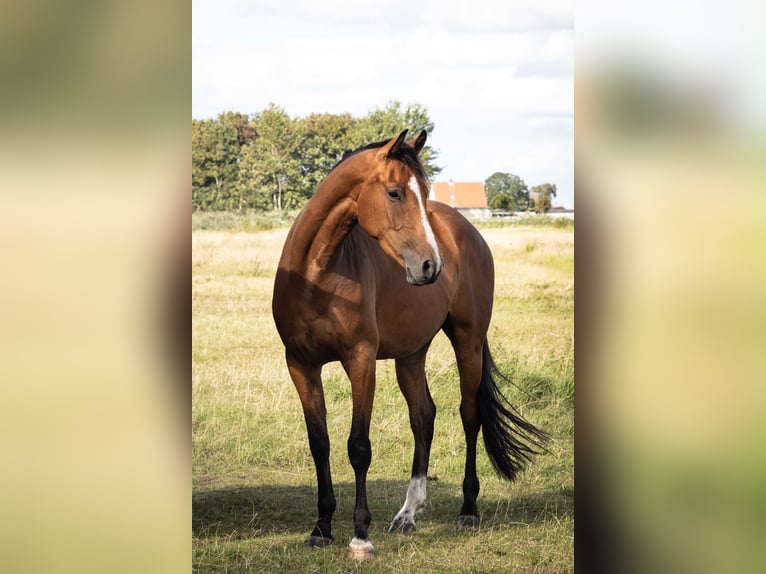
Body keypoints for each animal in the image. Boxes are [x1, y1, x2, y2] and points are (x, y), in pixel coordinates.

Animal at [272, 130, 547, 557]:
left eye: (424, 192)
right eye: (395, 193)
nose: (431, 265)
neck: (318, 274)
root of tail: (467, 231)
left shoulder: (360, 361)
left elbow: (358, 447)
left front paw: (360, 537)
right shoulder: (300, 364)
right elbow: (320, 442)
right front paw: (321, 527)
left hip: (467, 342)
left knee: (469, 415)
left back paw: (468, 509)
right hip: (411, 354)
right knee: (423, 416)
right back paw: (407, 513)